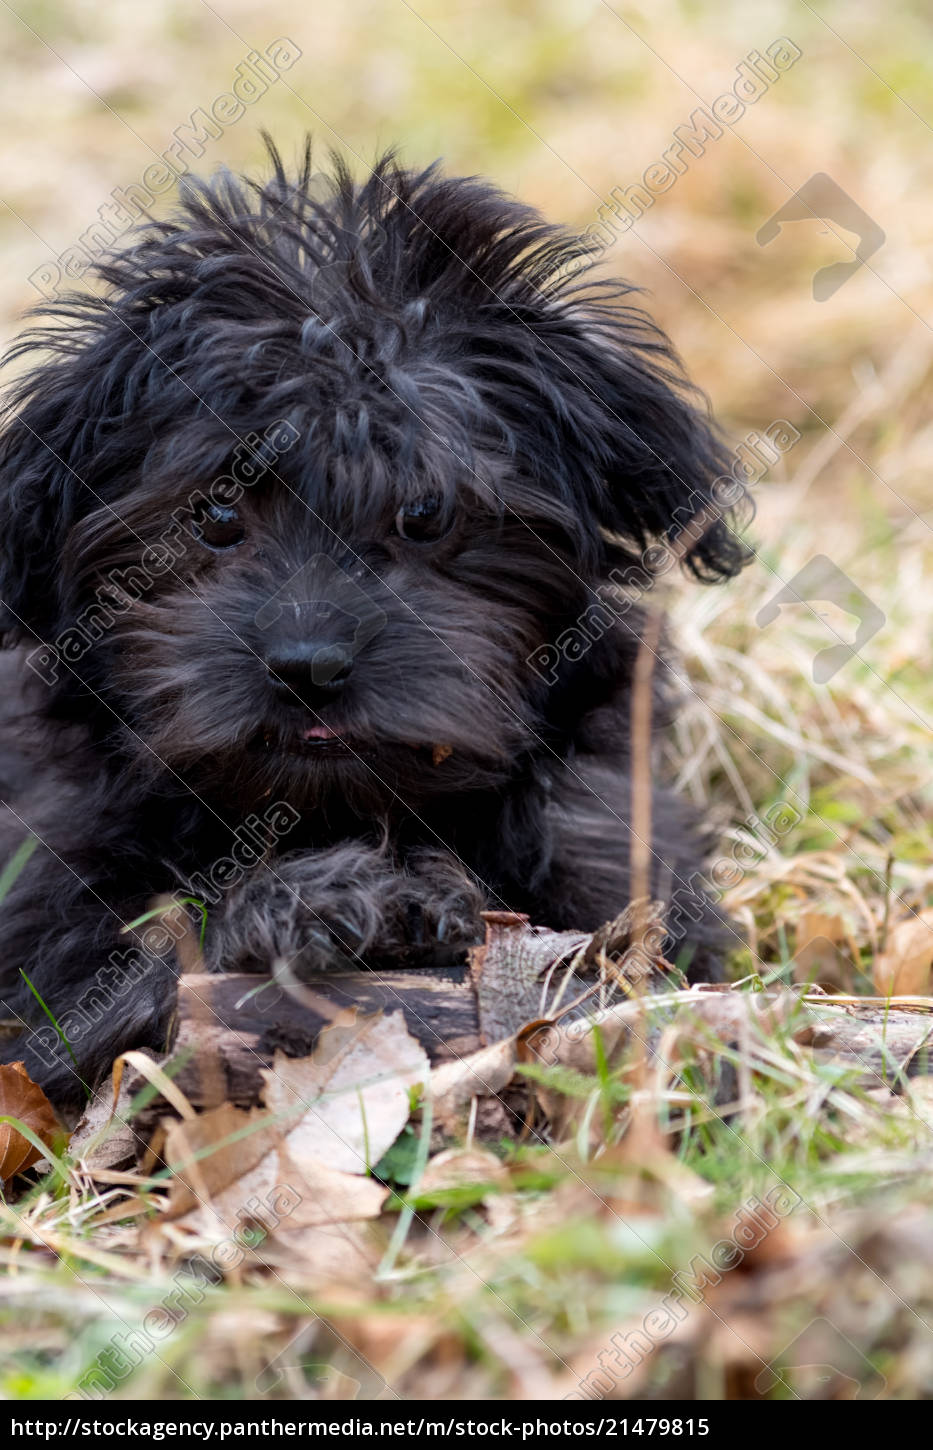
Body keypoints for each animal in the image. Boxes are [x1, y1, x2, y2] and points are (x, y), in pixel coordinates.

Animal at [0, 141, 748, 1102]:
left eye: (426, 512)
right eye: (215, 515)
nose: (307, 664)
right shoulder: (44, 923)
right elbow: (113, 983)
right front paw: (322, 900)